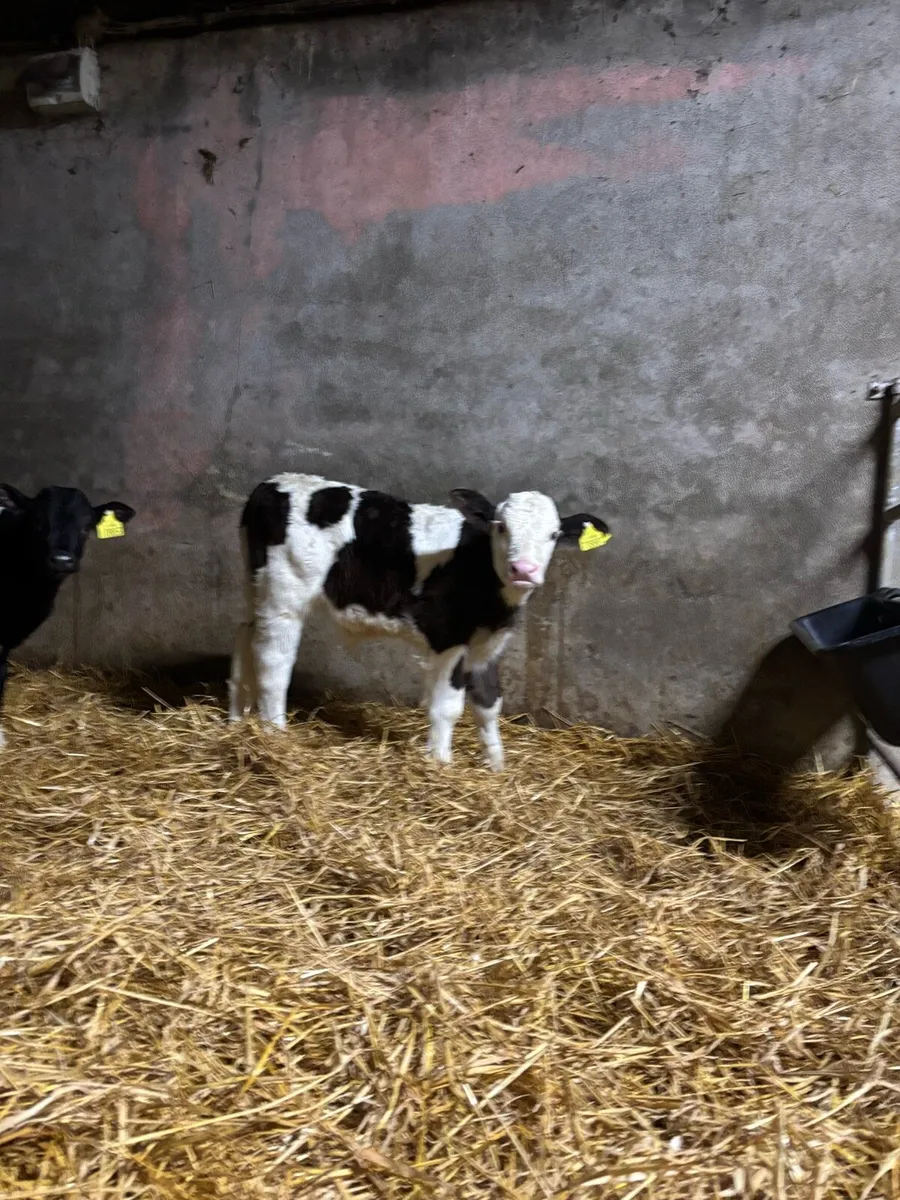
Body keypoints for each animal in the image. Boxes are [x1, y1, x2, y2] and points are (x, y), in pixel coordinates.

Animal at [229, 474, 611, 771]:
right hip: (285, 595)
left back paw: (236, 720)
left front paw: (497, 768)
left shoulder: (487, 644)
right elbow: (447, 706)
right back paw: (275, 736)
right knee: (273, 662)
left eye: (553, 534)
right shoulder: (448, 637)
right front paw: (441, 764)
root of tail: (271, 484)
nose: (524, 570)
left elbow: (489, 703)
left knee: (244, 637)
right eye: (501, 527)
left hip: (256, 587)